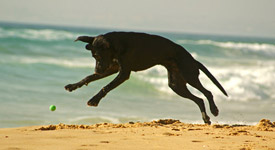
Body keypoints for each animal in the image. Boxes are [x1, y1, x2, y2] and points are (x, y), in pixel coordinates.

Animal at [65, 31, 229, 124]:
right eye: (93, 56)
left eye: (98, 56)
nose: (97, 70)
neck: (116, 44)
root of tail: (193, 59)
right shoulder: (112, 68)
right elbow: (88, 78)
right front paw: (73, 86)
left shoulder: (123, 73)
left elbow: (106, 87)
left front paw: (94, 100)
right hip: (176, 85)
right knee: (199, 99)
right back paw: (205, 118)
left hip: (189, 75)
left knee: (208, 92)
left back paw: (214, 110)